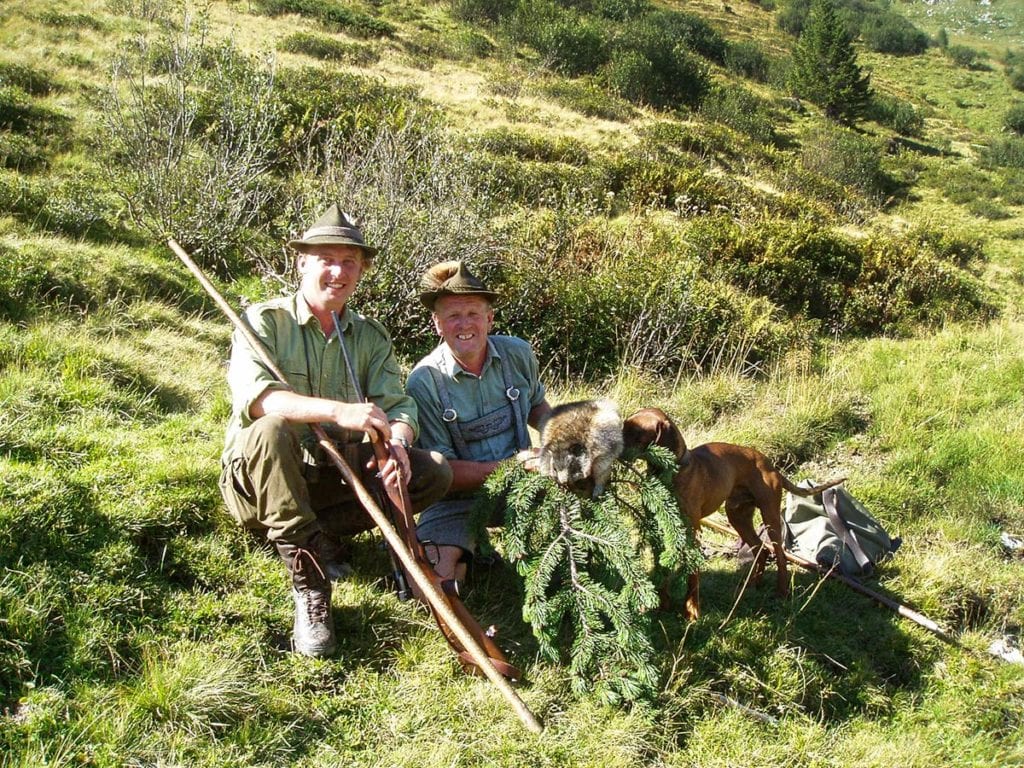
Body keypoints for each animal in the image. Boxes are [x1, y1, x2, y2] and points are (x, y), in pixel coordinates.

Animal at [618, 409, 843, 618]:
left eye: (635, 431)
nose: (612, 446)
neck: (670, 473)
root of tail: (770, 465)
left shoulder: (692, 532)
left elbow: (692, 575)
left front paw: (691, 611)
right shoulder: (658, 528)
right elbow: (662, 568)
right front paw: (662, 605)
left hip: (770, 518)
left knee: (779, 556)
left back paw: (782, 592)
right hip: (738, 517)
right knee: (762, 550)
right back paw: (753, 584)